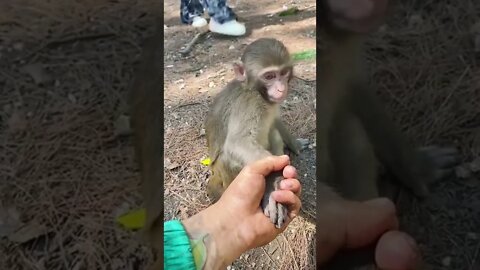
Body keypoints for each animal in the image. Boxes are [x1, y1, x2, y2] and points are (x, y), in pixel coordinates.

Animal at [204, 37, 302, 228]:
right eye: (269, 76)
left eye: (283, 73)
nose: (281, 89)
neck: (258, 93)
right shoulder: (248, 103)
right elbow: (238, 143)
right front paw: (272, 188)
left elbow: (275, 121)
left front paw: (295, 143)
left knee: (273, 134)